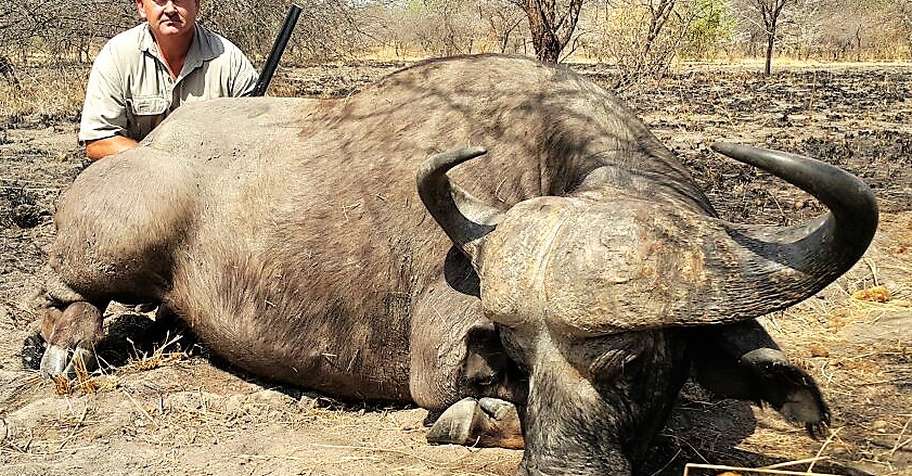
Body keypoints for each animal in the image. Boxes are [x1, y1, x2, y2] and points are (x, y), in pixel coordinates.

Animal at [33, 55, 877, 475]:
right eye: (517, 357)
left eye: (633, 361)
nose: (564, 469)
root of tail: (159, 146)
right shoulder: (440, 370)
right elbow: (464, 409)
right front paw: (481, 419)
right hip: (112, 246)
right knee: (68, 293)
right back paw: (65, 349)